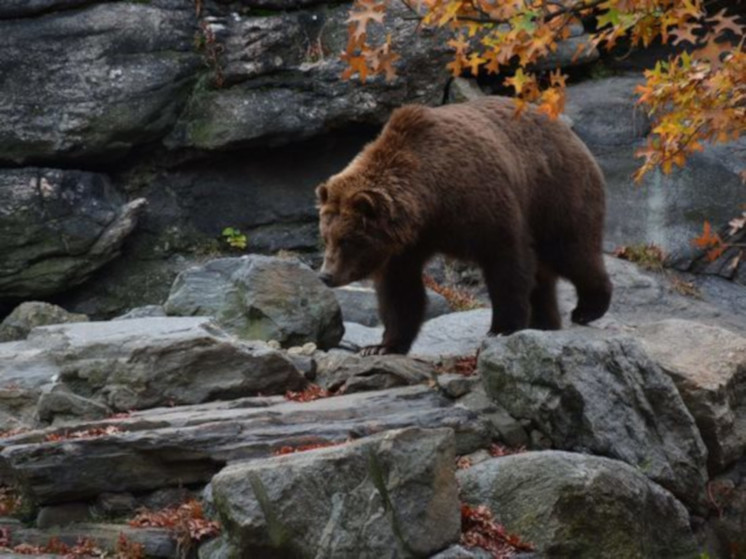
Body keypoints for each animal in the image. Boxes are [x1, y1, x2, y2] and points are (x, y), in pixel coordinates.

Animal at [314, 97, 612, 354]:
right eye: (326, 238)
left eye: (348, 240)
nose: (326, 275)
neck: (431, 204)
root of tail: (567, 131)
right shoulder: (404, 247)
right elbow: (400, 291)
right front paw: (381, 346)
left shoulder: (480, 203)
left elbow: (508, 262)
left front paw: (501, 328)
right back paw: (545, 322)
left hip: (555, 193)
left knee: (572, 250)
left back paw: (588, 307)